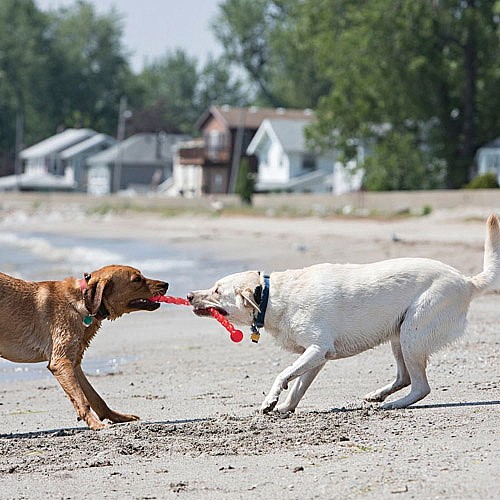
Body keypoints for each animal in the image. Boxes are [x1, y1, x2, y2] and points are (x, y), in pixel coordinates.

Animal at [0, 266, 168, 430]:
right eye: (137, 279)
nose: (166, 284)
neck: (82, 301)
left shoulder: (74, 363)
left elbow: (95, 398)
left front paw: (116, 417)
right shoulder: (61, 362)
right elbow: (82, 400)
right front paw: (95, 424)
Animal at [188, 213, 500, 412]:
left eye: (217, 290)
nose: (189, 295)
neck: (271, 297)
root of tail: (466, 281)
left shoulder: (316, 348)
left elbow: (284, 374)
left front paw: (271, 401)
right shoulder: (317, 356)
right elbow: (299, 385)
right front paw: (285, 408)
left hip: (412, 331)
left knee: (421, 386)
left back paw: (392, 404)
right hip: (399, 336)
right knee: (406, 378)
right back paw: (378, 396)